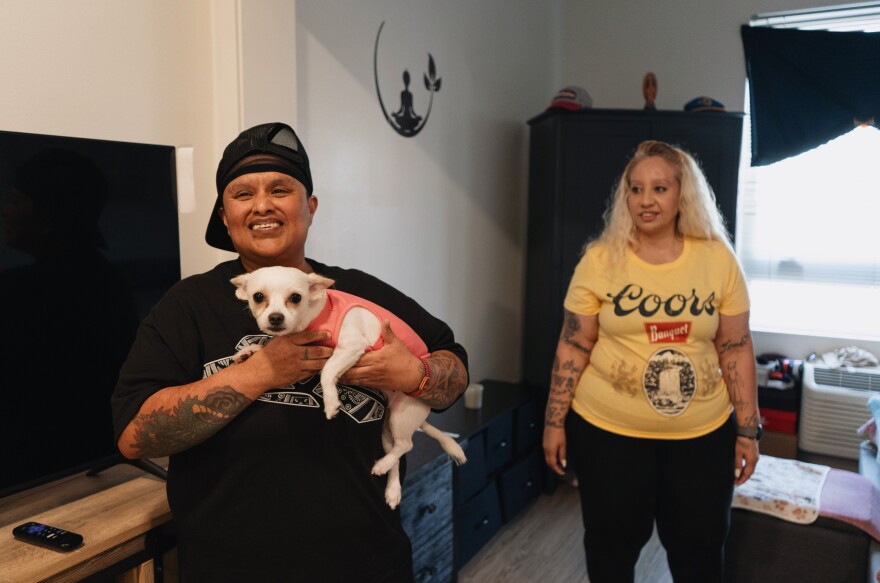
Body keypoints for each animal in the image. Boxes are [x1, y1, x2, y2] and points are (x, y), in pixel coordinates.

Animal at [232, 266, 468, 508]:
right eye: (258, 297)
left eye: (296, 297)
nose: (276, 318)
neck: (317, 313)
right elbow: (265, 345)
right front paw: (249, 351)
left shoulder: (352, 346)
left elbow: (327, 371)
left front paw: (331, 403)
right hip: (387, 433)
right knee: (397, 453)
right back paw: (392, 489)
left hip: (402, 415)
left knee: (406, 446)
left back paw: (382, 466)